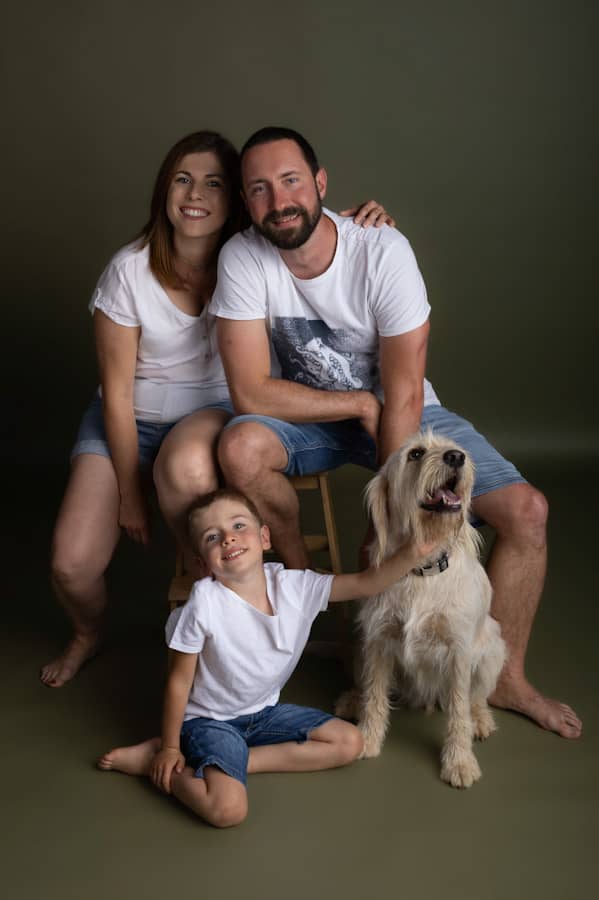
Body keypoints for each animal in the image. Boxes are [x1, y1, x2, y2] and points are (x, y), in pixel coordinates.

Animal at [338, 428, 506, 788]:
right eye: (415, 454)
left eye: (454, 449)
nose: (456, 457)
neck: (421, 569)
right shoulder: (378, 640)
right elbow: (375, 696)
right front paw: (367, 739)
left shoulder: (458, 652)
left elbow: (458, 710)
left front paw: (459, 762)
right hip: (359, 648)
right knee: (366, 687)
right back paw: (351, 700)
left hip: (493, 650)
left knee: (476, 697)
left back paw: (481, 719)